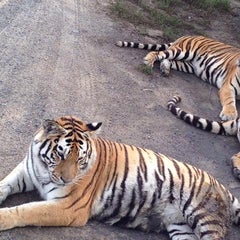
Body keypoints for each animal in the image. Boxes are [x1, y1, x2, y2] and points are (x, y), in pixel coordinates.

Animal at [0, 115, 240, 239]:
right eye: (61, 154)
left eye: (80, 159)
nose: (67, 180)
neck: (44, 169)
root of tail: (223, 186)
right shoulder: (27, 171)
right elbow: (5, 183)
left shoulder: (68, 207)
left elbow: (27, 210)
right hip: (180, 227)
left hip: (204, 217)